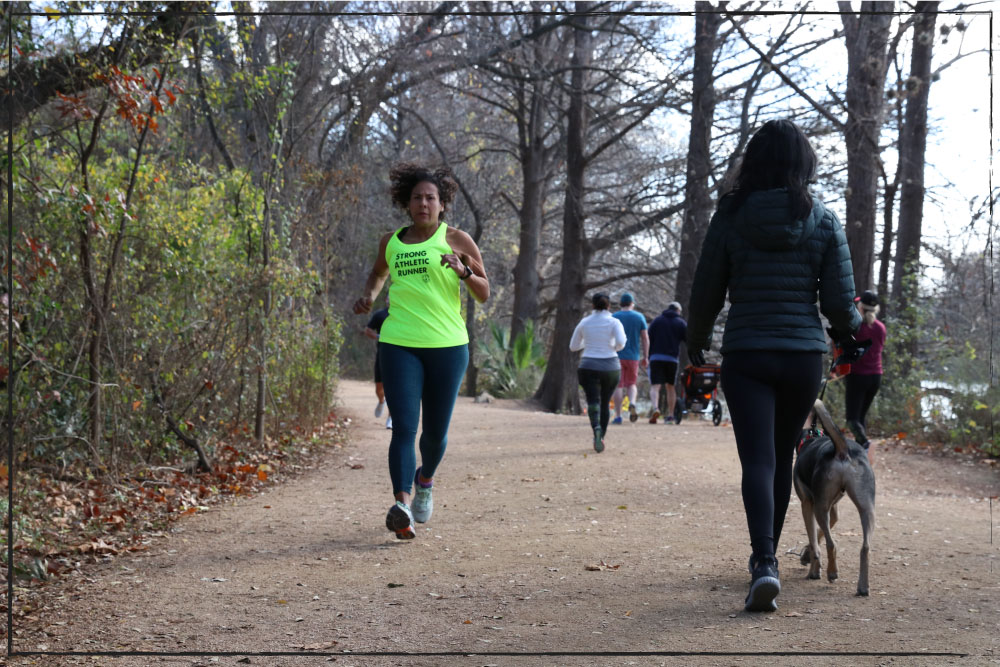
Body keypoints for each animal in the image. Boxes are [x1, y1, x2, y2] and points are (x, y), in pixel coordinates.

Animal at [796, 400, 876, 596]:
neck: (810, 438)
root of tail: (842, 450)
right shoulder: (833, 511)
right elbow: (819, 534)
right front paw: (807, 555)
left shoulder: (808, 505)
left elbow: (815, 540)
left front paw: (813, 569)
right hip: (867, 508)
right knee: (865, 548)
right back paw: (863, 587)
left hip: (819, 508)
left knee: (831, 544)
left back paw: (832, 573)